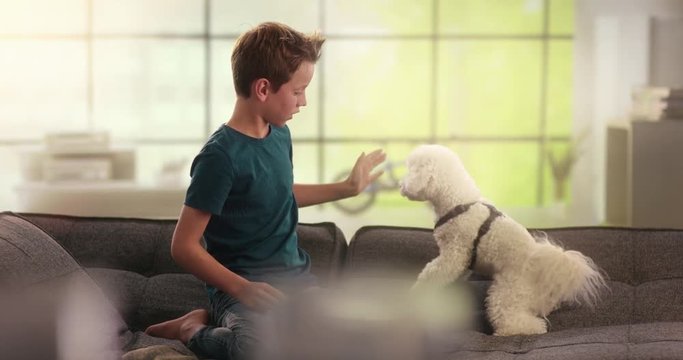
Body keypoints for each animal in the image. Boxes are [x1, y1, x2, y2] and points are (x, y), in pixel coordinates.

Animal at [398, 145, 608, 336]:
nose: (400, 185)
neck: (459, 201)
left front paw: (418, 294)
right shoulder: (463, 260)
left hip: (506, 293)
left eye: (411, 170)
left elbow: (431, 274)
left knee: (524, 324)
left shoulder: (454, 253)